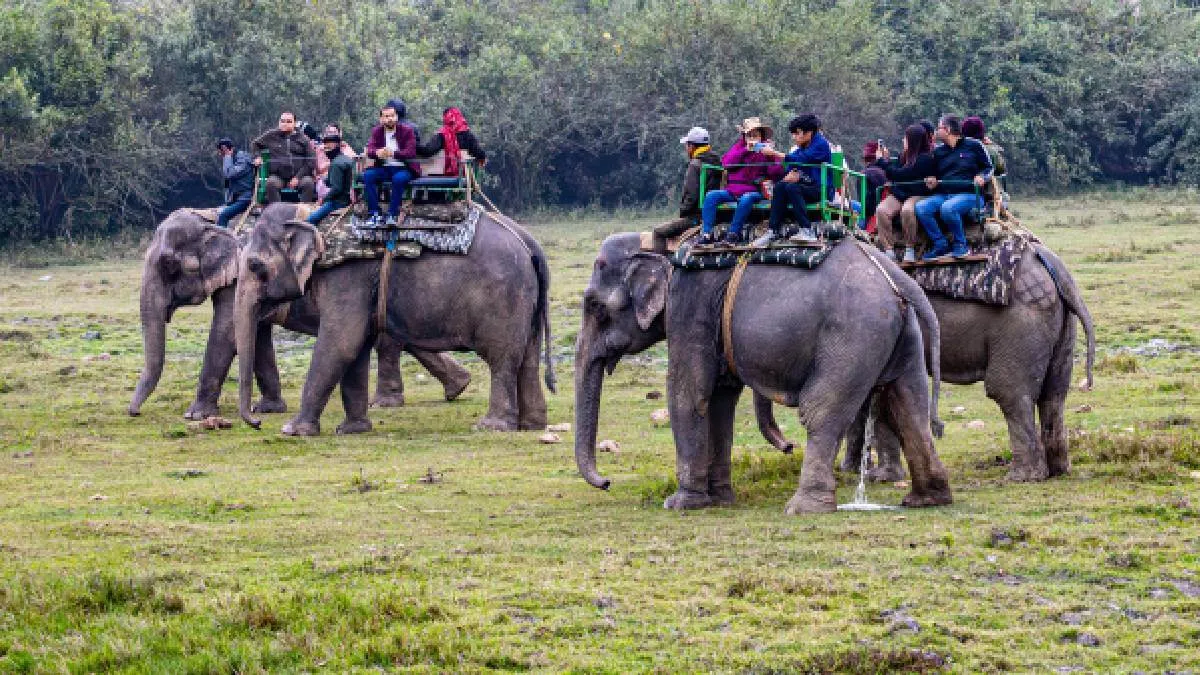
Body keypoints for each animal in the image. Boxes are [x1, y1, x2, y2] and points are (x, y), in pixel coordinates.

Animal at [127, 207, 471, 419]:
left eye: (169, 265)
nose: (133, 412)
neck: (210, 216)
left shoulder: (239, 276)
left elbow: (226, 330)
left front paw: (195, 415)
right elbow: (256, 334)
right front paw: (267, 409)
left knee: (388, 340)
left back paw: (386, 403)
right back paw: (458, 387)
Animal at [233, 206, 555, 435]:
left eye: (255, 265)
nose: (256, 422)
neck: (313, 217)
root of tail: (531, 245)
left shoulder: (347, 276)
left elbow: (341, 342)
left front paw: (293, 431)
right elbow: (356, 347)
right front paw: (352, 430)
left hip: (504, 297)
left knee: (501, 358)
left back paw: (491, 427)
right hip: (526, 299)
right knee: (527, 357)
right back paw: (532, 425)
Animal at [662, 239, 952, 514]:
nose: (790, 447)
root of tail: (899, 278)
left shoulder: (690, 301)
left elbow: (690, 395)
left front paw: (680, 504)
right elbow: (721, 399)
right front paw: (720, 500)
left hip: (853, 334)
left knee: (820, 412)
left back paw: (803, 508)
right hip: (899, 334)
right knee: (907, 407)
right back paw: (927, 500)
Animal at [841, 241, 1096, 483]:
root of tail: (1055, 267)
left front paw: (876, 476)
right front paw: (858, 471)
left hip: (1022, 321)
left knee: (1009, 391)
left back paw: (1022, 477)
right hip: (1060, 322)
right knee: (1054, 393)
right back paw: (1058, 471)